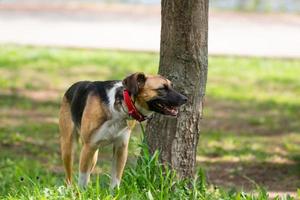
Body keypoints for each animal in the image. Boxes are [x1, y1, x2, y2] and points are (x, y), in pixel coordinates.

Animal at [58, 72, 188, 188]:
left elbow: (116, 180)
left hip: (94, 155)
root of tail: (73, 86)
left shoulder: (121, 148)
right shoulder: (88, 147)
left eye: (172, 86)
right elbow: (82, 181)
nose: (185, 99)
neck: (121, 105)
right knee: (69, 178)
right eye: (162, 89)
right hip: (69, 149)